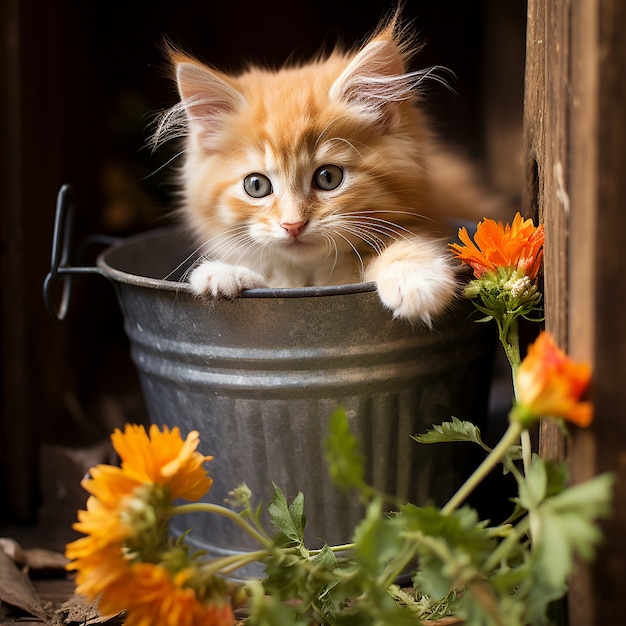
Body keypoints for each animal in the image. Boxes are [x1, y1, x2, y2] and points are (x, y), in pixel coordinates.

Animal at [152, 13, 492, 326]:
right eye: (256, 186)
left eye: (328, 177)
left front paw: (414, 276)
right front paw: (223, 273)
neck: (310, 276)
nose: (292, 225)